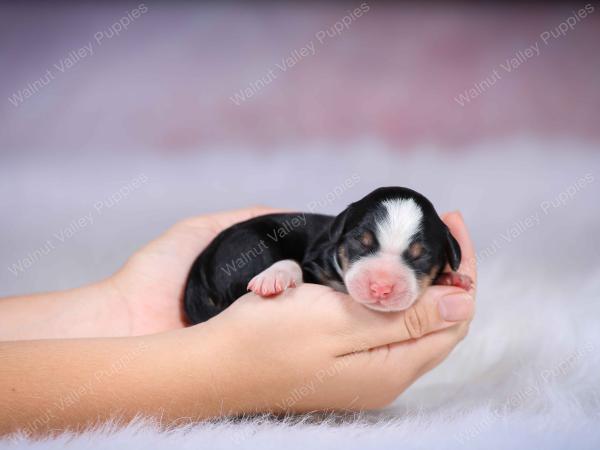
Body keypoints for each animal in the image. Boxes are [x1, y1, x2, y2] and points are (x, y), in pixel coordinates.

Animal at [184, 186, 474, 324]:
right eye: (360, 243)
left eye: (419, 256)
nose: (381, 288)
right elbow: (298, 267)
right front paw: (277, 276)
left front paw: (452, 278)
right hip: (249, 246)